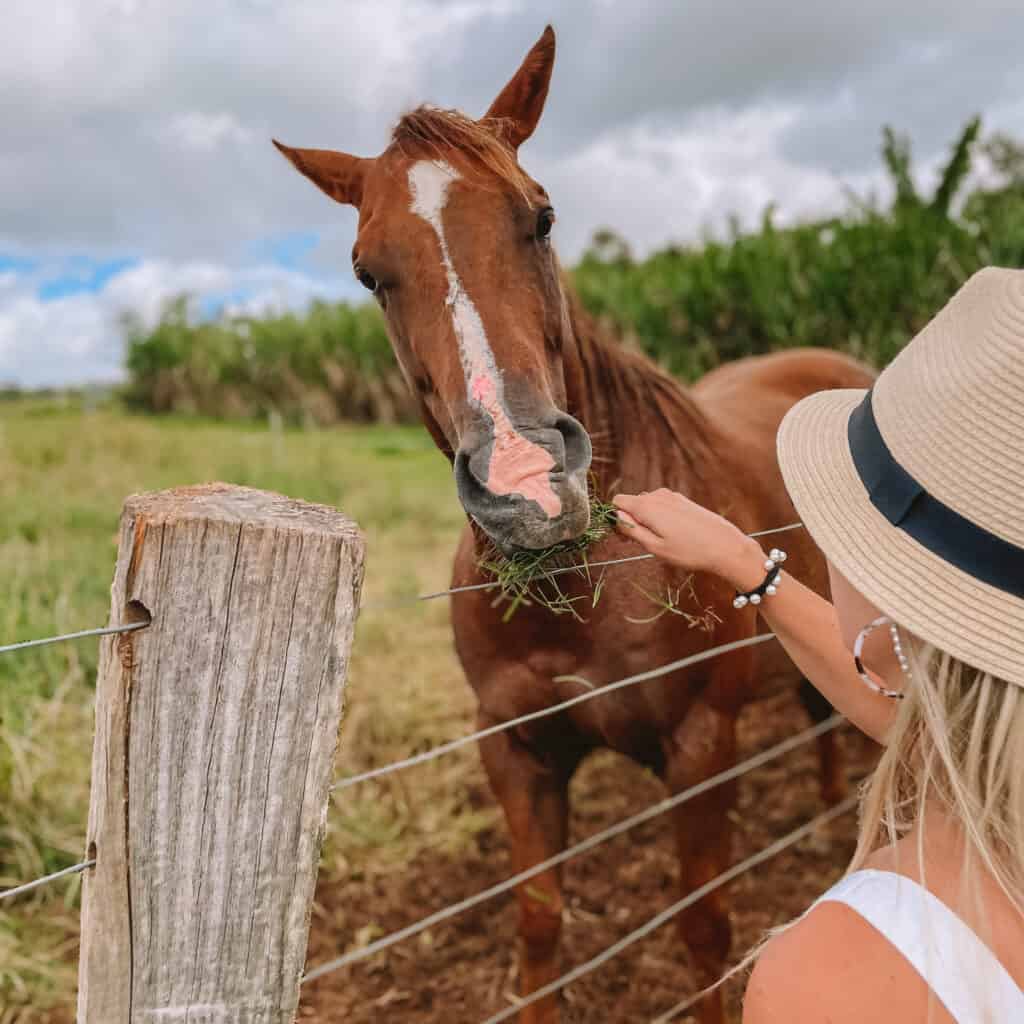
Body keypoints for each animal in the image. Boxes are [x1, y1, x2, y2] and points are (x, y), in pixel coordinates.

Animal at [276, 24, 876, 1024]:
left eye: (542, 217)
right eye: (368, 271)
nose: (524, 483)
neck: (581, 587)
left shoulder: (700, 749)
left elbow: (704, 926)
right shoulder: (518, 755)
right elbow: (539, 926)